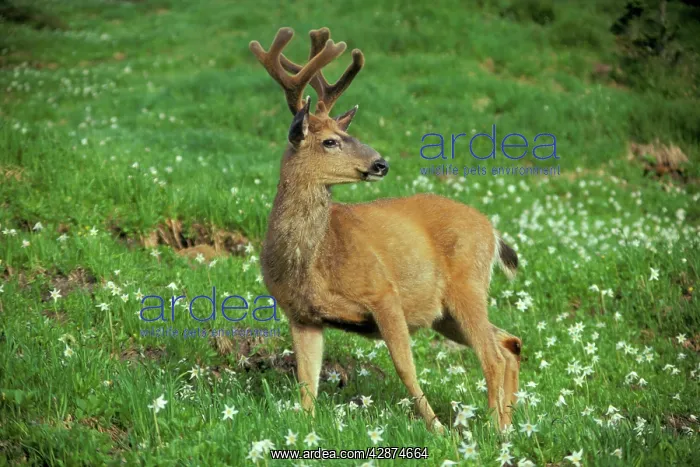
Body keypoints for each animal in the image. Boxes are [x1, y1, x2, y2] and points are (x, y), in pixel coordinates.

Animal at [250, 27, 522, 432]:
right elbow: (306, 383)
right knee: (509, 342)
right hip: (443, 313)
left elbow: (405, 368)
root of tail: (491, 229)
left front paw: (437, 428)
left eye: (343, 132)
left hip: (467, 284)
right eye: (330, 141)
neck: (313, 261)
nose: (381, 164)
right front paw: (307, 429)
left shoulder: (383, 292)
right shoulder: (302, 314)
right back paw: (510, 423)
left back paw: (494, 429)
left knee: (492, 354)